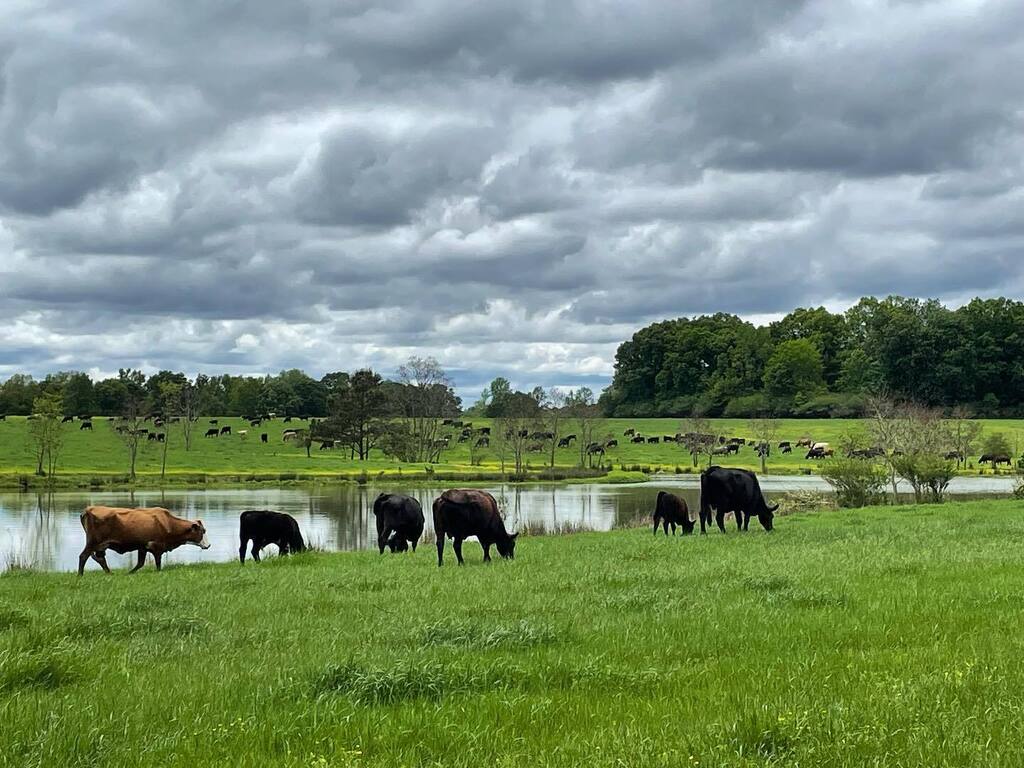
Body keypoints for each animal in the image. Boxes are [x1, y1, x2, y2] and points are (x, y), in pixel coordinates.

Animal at [78, 506, 210, 575]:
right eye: (202, 531)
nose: (208, 545)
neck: (169, 523)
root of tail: (89, 509)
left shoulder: (142, 547)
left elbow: (140, 563)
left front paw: (129, 573)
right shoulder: (157, 547)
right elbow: (158, 564)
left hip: (101, 545)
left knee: (101, 559)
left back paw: (109, 573)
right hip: (93, 542)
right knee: (83, 556)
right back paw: (80, 575)